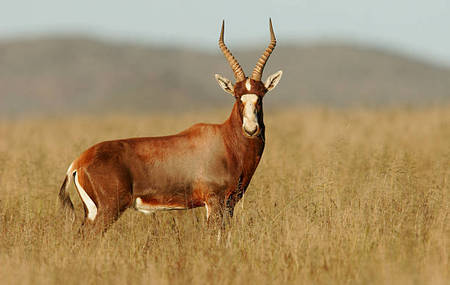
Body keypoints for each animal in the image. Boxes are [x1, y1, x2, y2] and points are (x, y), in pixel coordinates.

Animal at [58, 20, 284, 233]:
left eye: (261, 96)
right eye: (237, 96)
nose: (251, 129)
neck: (224, 140)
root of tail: (78, 163)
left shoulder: (230, 204)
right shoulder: (214, 201)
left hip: (92, 212)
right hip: (108, 210)